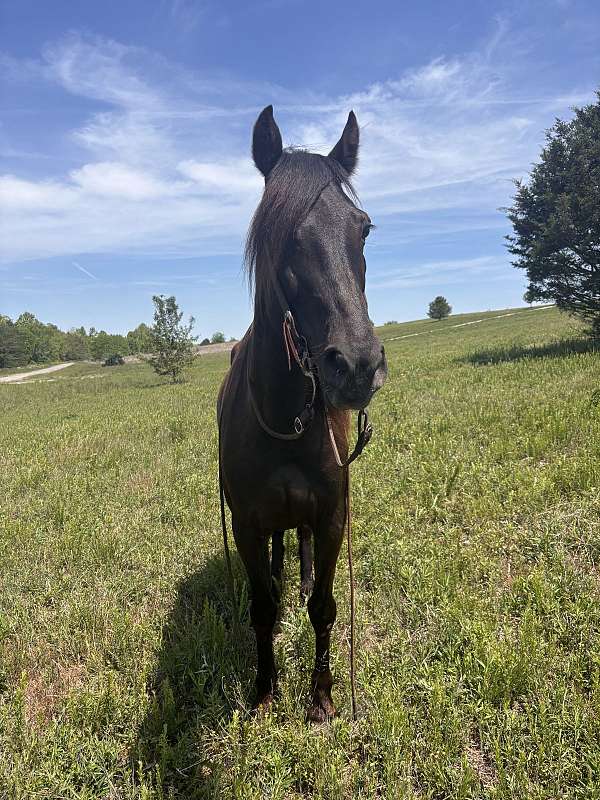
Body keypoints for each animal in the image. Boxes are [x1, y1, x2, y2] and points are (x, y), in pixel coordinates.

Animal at [217, 105, 387, 722]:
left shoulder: (333, 516)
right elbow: (263, 607)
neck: (286, 421)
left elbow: (323, 606)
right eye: (278, 234)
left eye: (364, 228)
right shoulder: (246, 524)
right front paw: (265, 693)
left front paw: (322, 699)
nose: (358, 364)